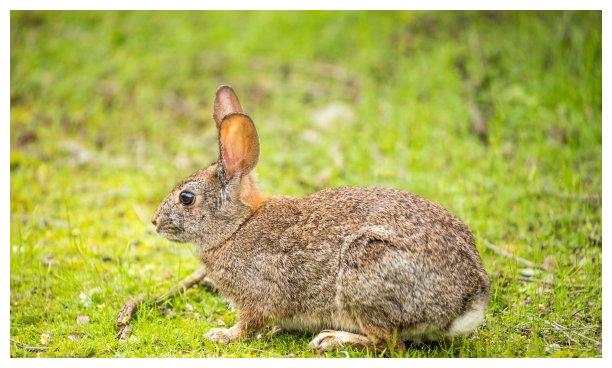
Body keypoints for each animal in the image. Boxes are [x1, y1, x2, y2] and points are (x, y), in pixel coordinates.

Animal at [153, 85, 492, 352]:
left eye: (186, 197)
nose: (155, 223)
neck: (237, 226)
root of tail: (466, 300)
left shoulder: (257, 296)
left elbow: (249, 324)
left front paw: (222, 335)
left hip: (365, 273)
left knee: (388, 342)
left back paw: (332, 339)